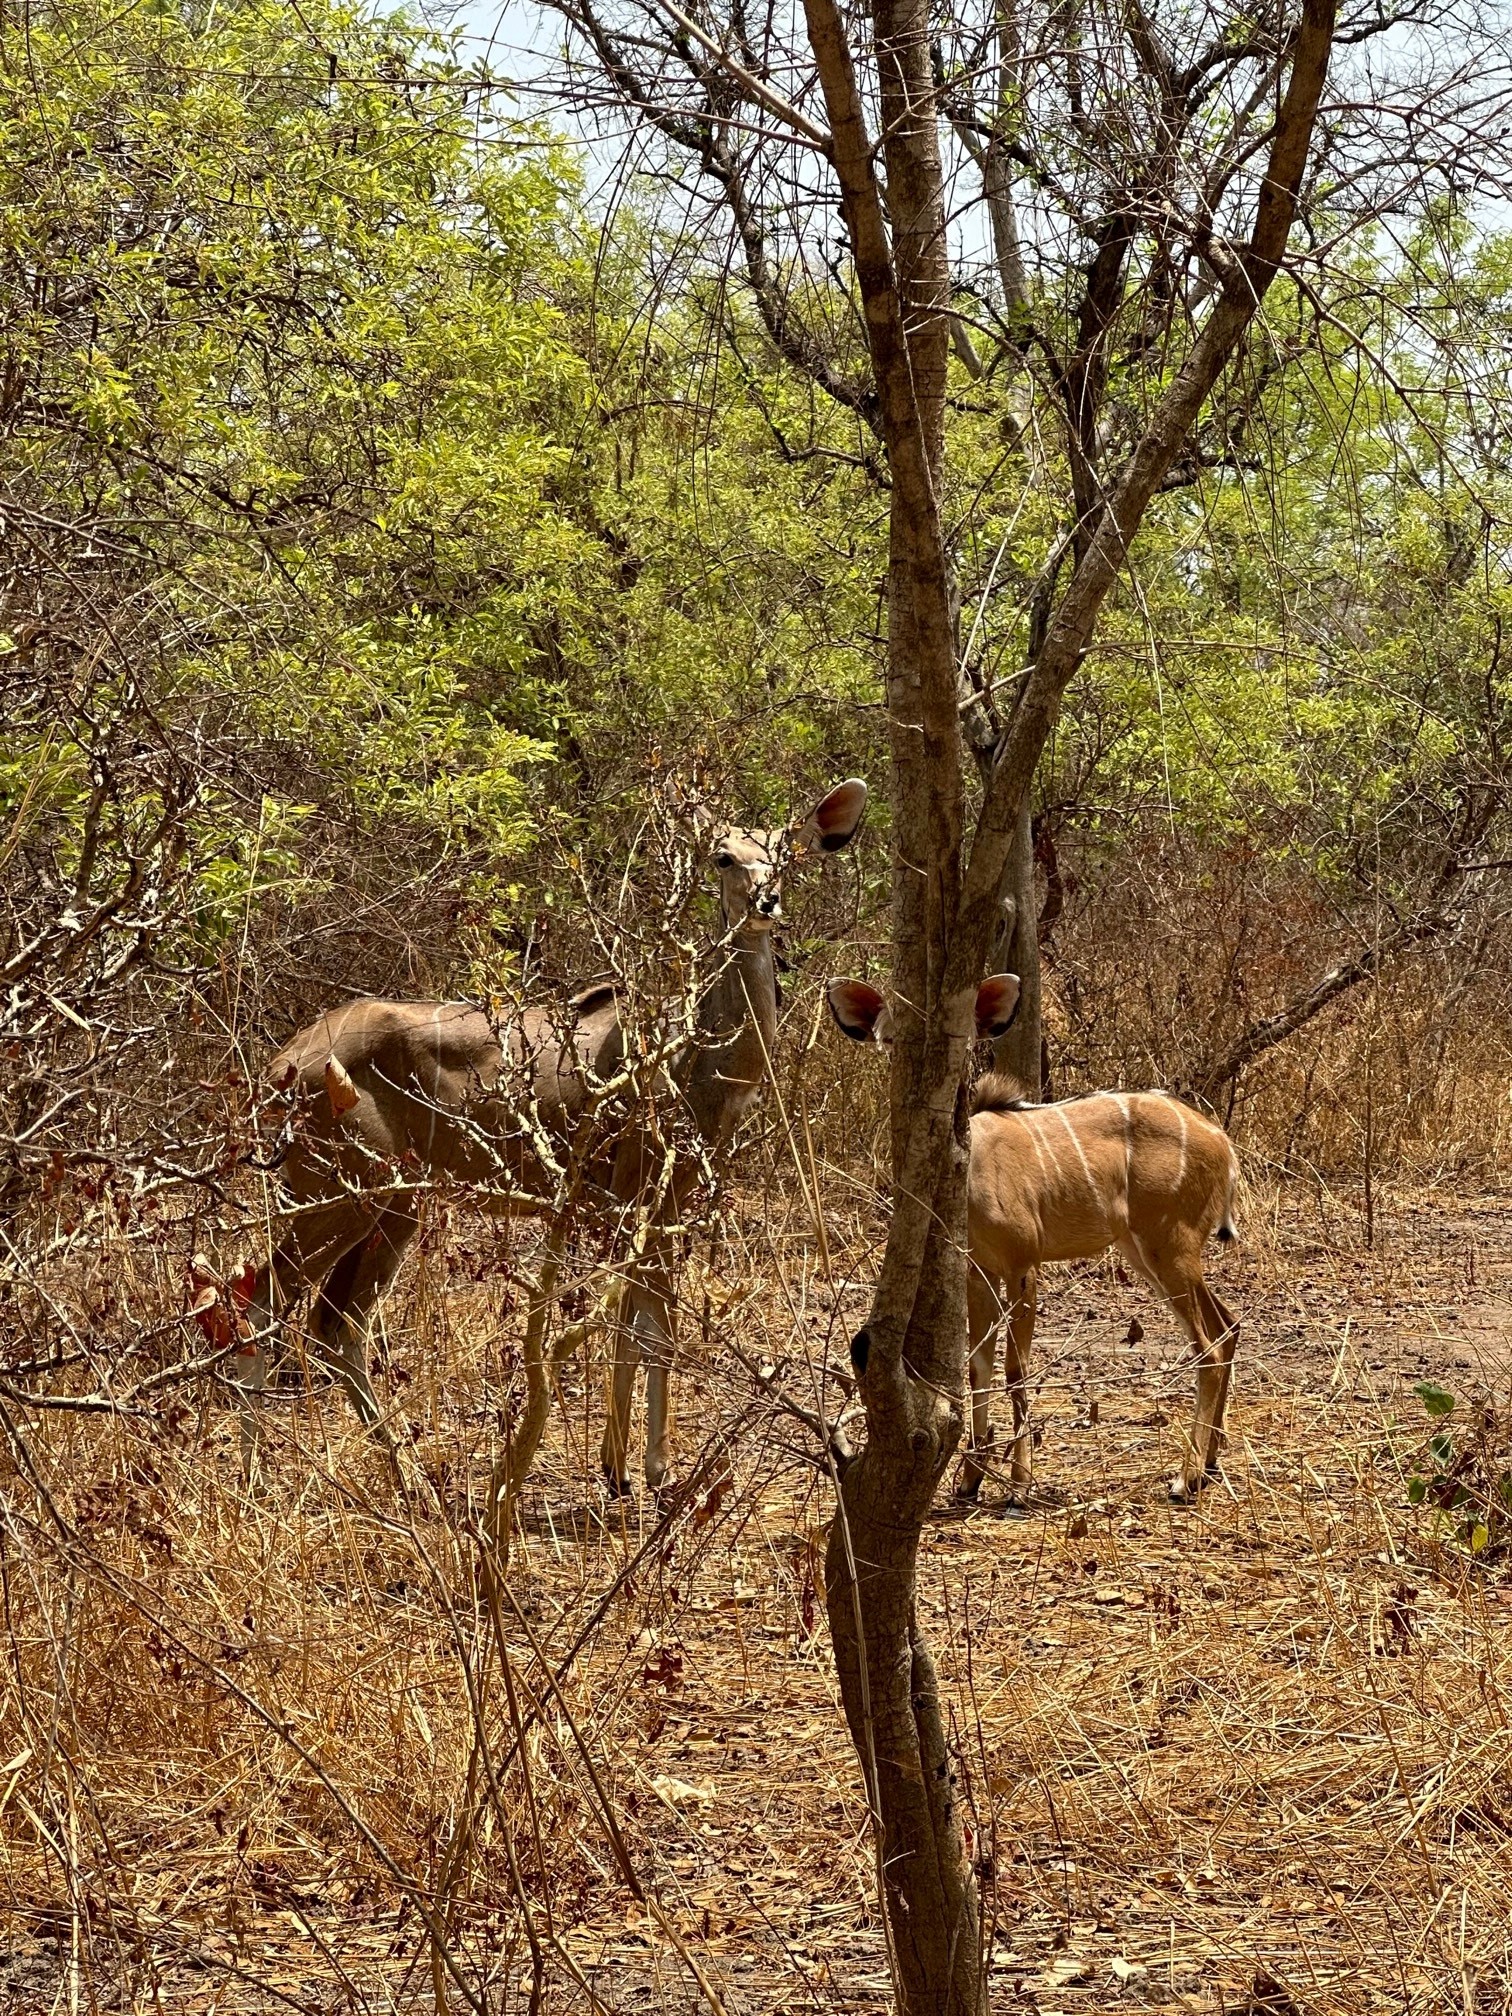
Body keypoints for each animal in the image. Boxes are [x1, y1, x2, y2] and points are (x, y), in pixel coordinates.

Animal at [242, 778, 870, 1491]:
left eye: (784, 852)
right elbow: (642, 1325)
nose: (767, 902)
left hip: (393, 1202)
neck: (701, 1062)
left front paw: (634, 1465)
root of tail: (282, 1064)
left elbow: (650, 1322)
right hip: (337, 1188)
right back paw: (260, 1479)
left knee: (334, 1324)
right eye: (722, 856)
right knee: (265, 1300)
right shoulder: (639, 1187)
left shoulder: (664, 1200)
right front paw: (634, 1470)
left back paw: (410, 1482)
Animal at [830, 967, 1241, 1507]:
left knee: (1208, 1348)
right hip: (1147, 1250)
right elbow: (977, 1366)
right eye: (891, 1039)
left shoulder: (1023, 1264)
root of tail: (1224, 1143)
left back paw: (1185, 1479)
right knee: (1228, 1326)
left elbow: (1015, 1368)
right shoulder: (978, 1269)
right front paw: (970, 1479)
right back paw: (1210, 1464)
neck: (973, 1170)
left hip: (1169, 1245)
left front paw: (1020, 1484)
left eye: (958, 1042)